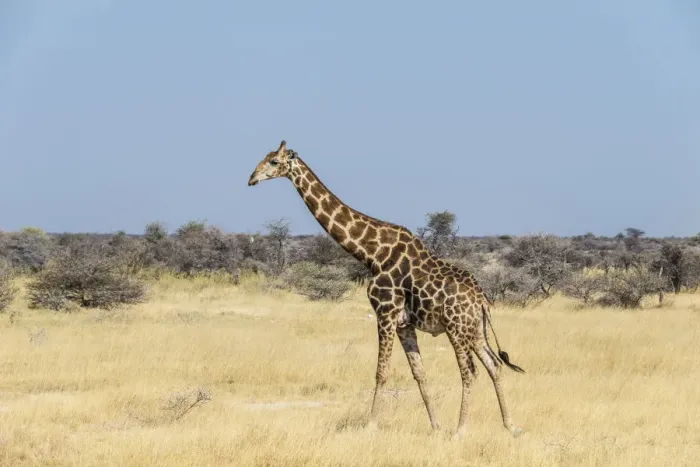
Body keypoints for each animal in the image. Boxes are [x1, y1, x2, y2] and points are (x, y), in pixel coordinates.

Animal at [248, 140, 524, 437]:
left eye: (274, 161)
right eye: (265, 158)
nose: (252, 179)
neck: (370, 253)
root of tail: (482, 299)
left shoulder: (385, 313)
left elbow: (381, 372)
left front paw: (370, 425)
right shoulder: (404, 324)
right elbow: (419, 373)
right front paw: (435, 426)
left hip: (456, 328)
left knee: (470, 371)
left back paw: (460, 430)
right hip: (475, 330)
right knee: (494, 365)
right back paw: (510, 425)